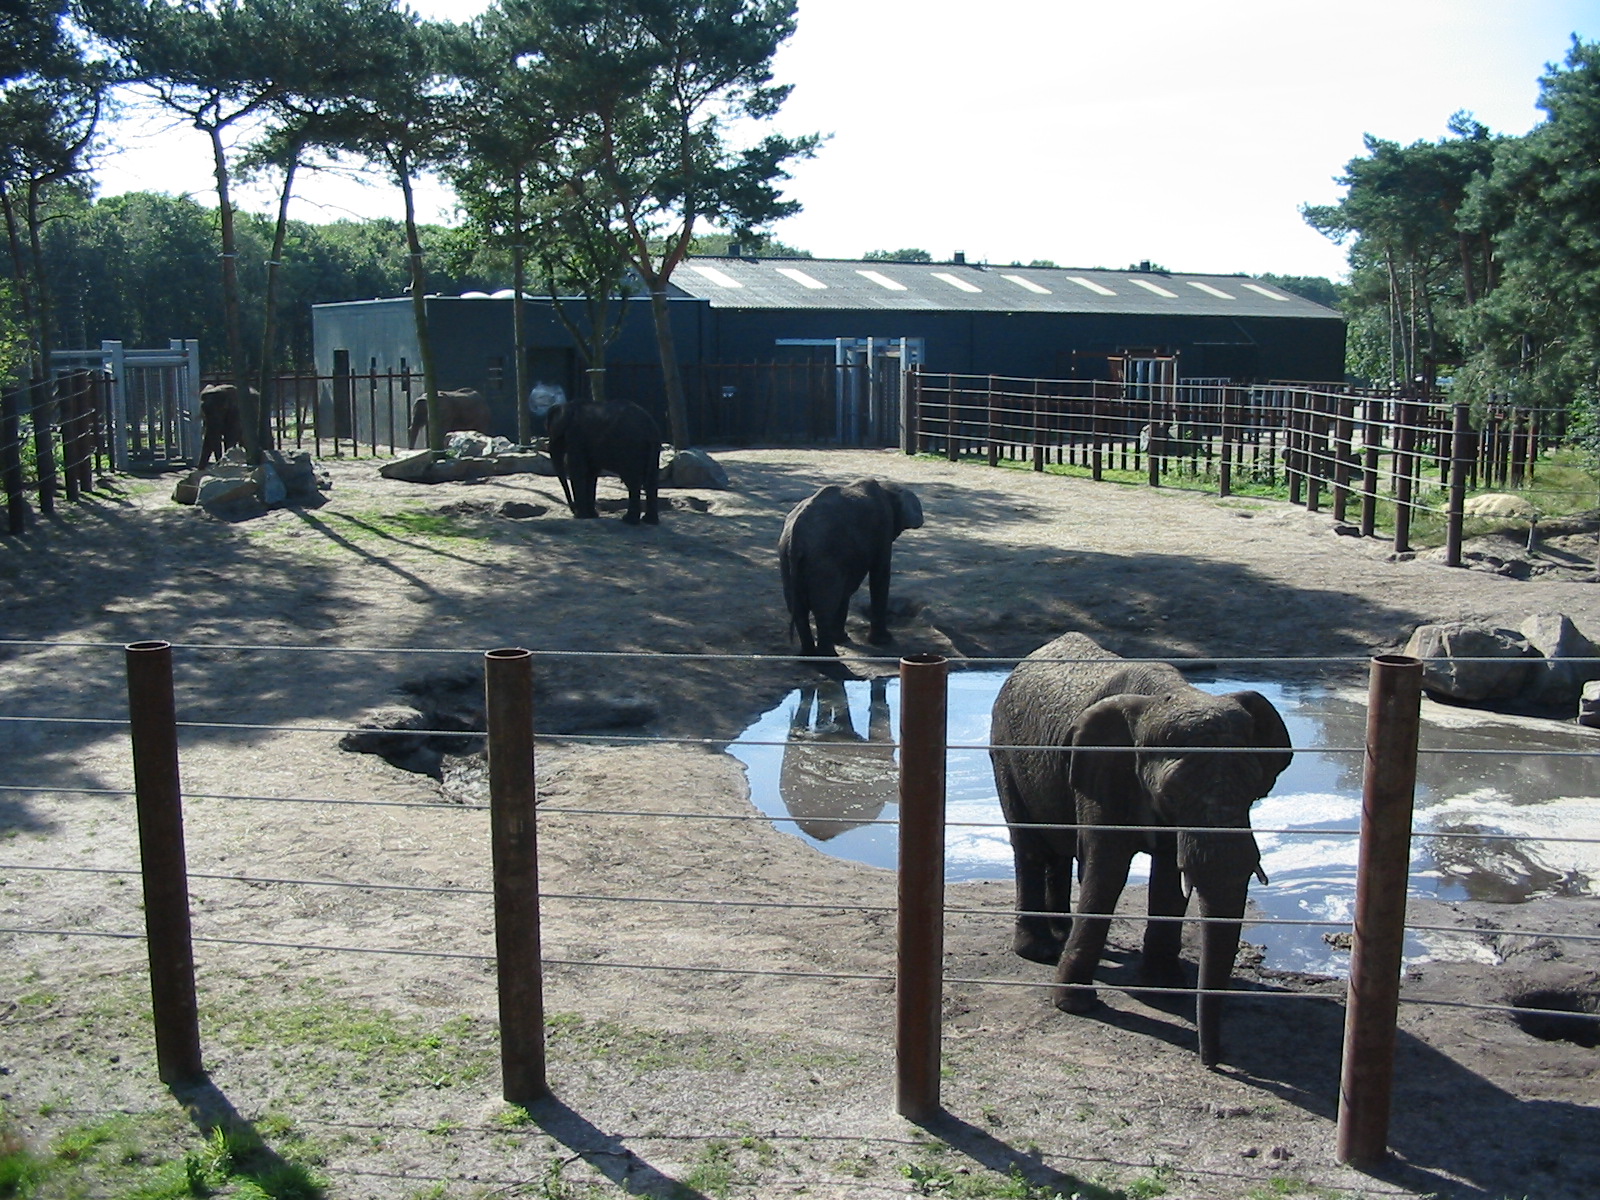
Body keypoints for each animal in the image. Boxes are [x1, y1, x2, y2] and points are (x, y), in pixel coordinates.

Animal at [777, 478, 923, 657]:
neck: (888, 488)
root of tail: (796, 537)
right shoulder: (883, 526)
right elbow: (880, 573)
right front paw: (883, 641)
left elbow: (846, 589)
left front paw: (842, 638)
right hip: (822, 558)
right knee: (824, 608)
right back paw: (828, 657)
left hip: (787, 556)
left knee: (797, 606)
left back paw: (808, 656)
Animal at [988, 631, 1292, 1065]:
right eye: (1172, 793)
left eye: (1254, 790)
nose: (1213, 1060)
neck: (1169, 695)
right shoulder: (1102, 772)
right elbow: (1107, 868)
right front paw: (1076, 1005)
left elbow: (1169, 877)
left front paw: (1163, 989)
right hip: (1004, 751)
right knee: (1029, 846)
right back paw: (1040, 951)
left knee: (1059, 851)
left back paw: (1061, 934)